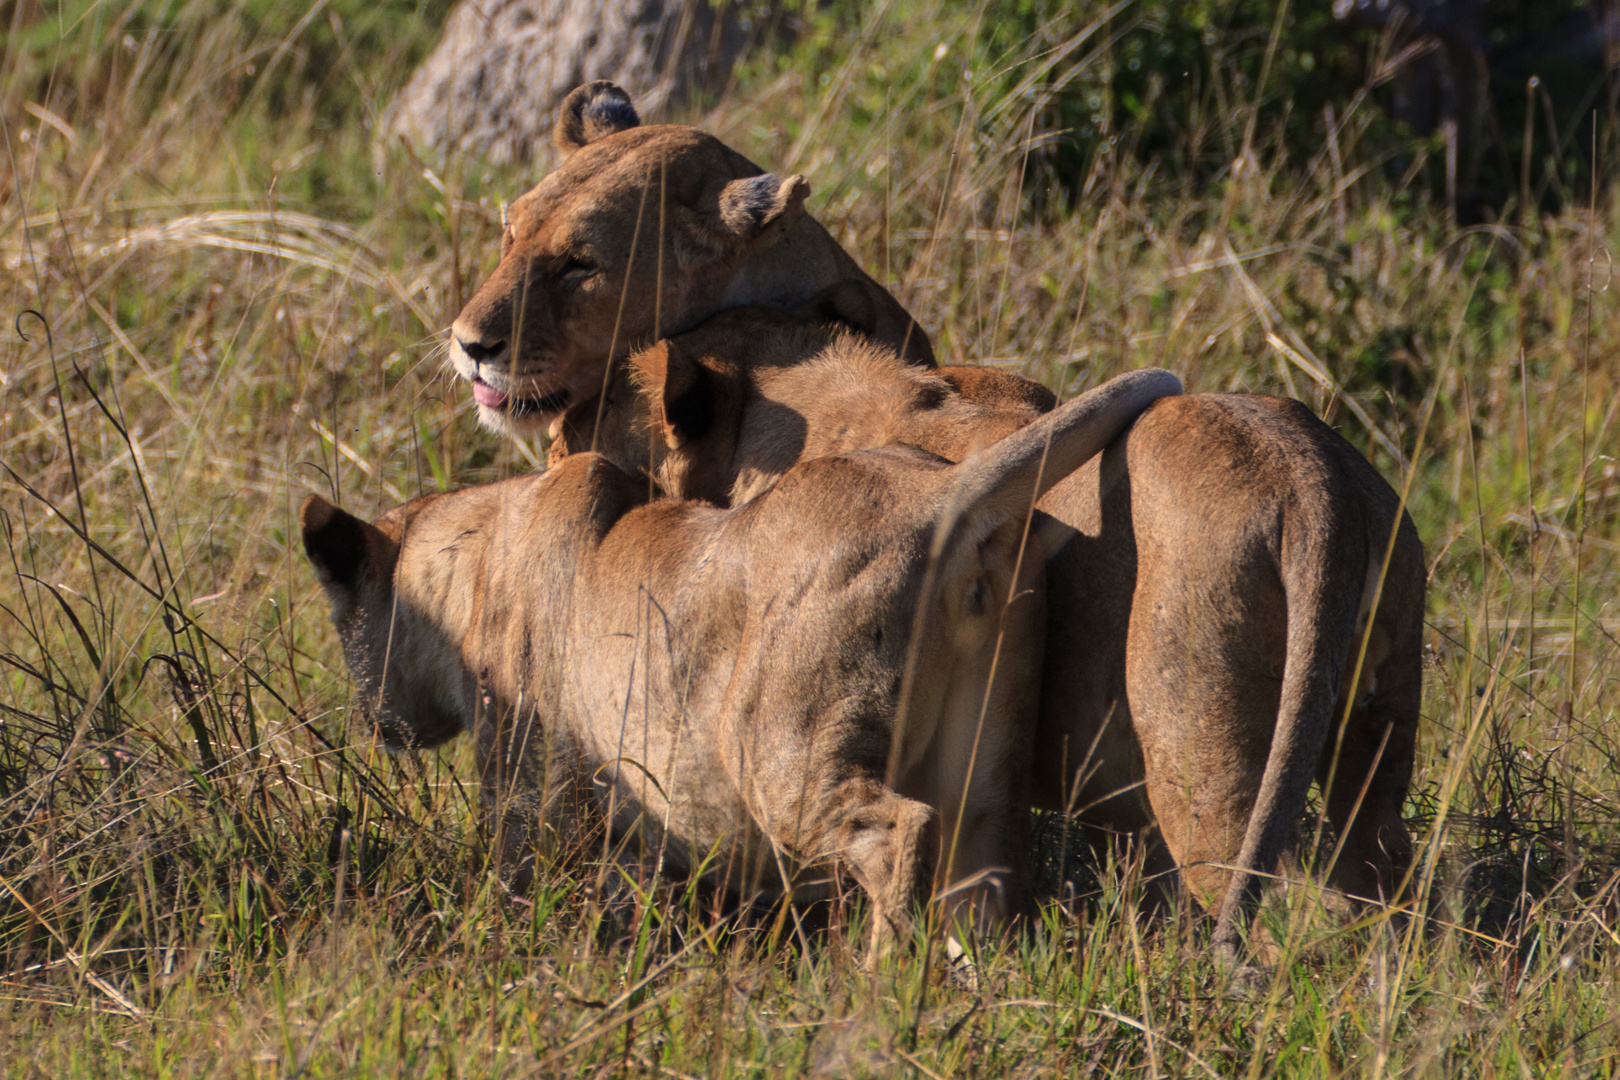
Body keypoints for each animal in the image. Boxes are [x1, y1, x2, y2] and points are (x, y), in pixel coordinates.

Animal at [301, 367, 1179, 939]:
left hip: (781, 749)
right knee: (983, 886)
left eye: (341, 625)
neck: (475, 552)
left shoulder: (533, 795)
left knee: (896, 832)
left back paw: (874, 992)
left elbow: (526, 892)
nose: (372, 723)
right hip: (987, 777)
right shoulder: (631, 839)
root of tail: (942, 495)